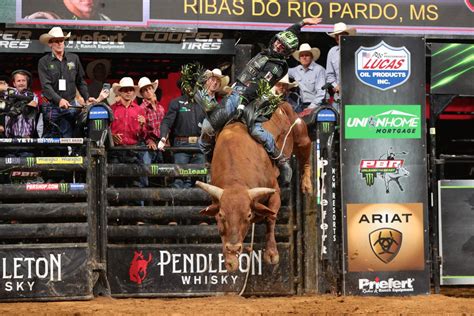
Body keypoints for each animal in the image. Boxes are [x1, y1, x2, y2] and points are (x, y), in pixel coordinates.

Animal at [196, 101, 312, 272]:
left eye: (248, 215)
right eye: (221, 215)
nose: (233, 248)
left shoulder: (274, 191)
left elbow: (270, 218)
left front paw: (271, 253)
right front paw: (231, 259)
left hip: (300, 133)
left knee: (305, 154)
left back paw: (306, 184)